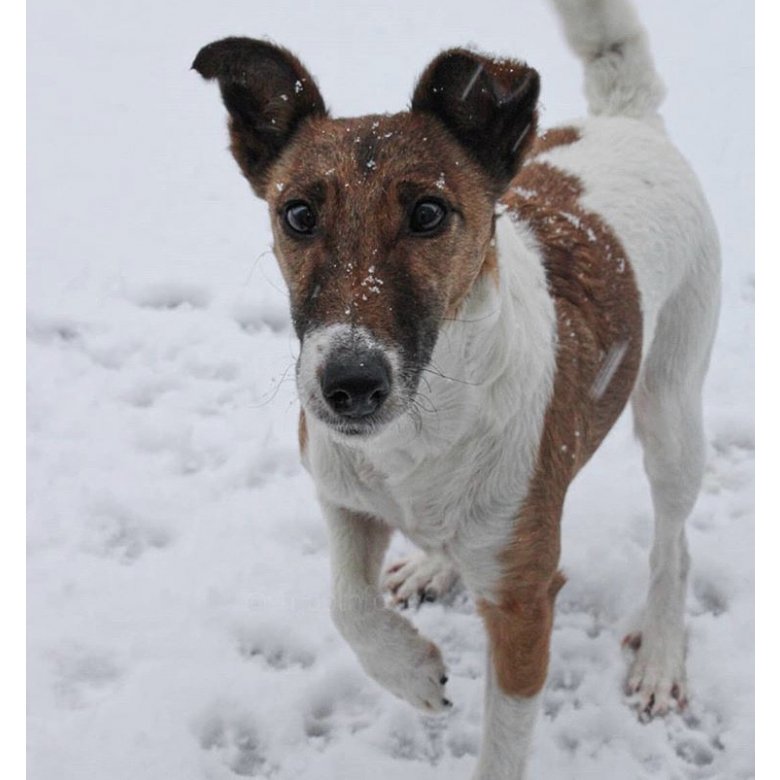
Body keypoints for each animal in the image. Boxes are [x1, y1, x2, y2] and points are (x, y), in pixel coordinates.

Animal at [193, 0, 720, 772]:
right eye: (298, 214)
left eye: (428, 213)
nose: (349, 384)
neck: (420, 430)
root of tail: (627, 120)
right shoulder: (340, 491)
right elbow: (347, 604)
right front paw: (411, 670)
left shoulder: (523, 602)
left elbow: (502, 747)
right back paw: (432, 567)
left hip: (672, 408)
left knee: (674, 546)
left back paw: (660, 655)